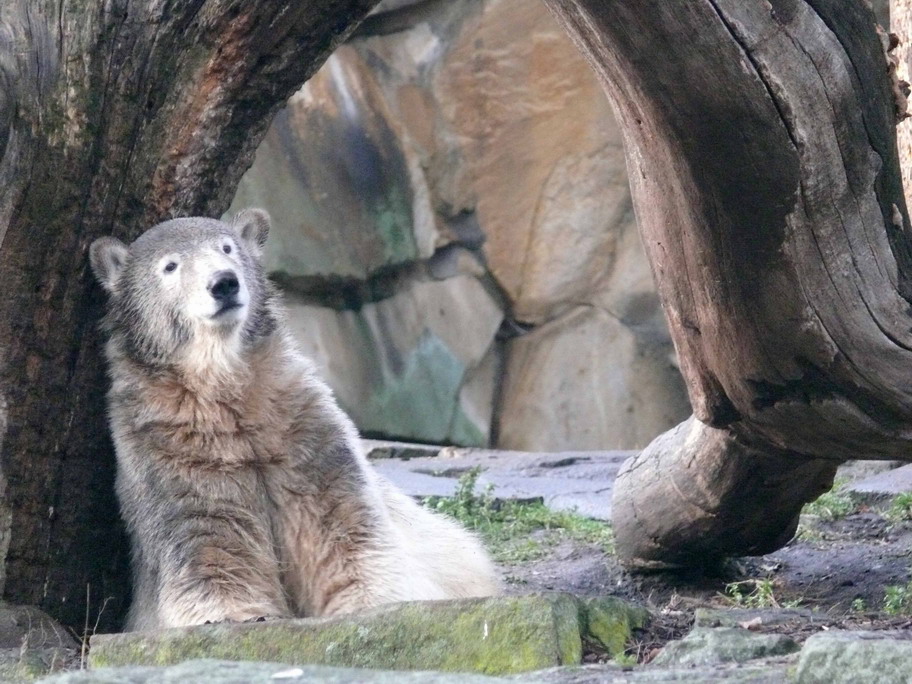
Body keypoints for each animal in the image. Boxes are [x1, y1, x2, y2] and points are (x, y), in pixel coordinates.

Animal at [90, 208, 502, 632]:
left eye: (228, 247)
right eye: (170, 266)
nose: (224, 283)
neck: (228, 398)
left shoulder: (299, 428)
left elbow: (340, 527)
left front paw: (370, 603)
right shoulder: (171, 452)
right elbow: (209, 542)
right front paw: (236, 615)